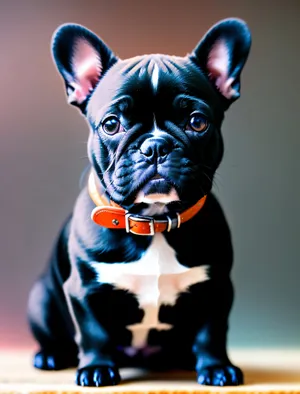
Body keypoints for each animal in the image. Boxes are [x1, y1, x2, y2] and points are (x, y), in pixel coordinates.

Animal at [27, 16, 251, 386]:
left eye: (198, 122)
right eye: (111, 124)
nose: (155, 145)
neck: (154, 221)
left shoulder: (217, 287)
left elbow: (212, 331)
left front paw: (217, 367)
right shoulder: (83, 290)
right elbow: (92, 333)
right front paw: (96, 368)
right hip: (41, 299)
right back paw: (51, 355)